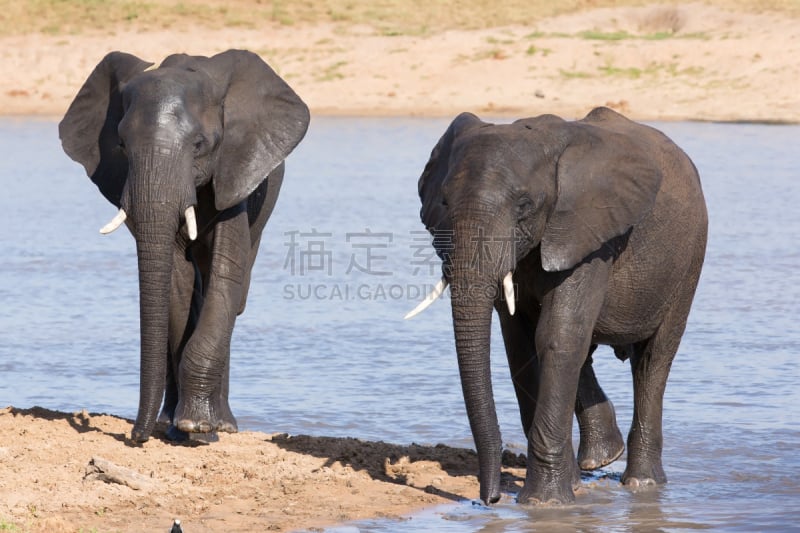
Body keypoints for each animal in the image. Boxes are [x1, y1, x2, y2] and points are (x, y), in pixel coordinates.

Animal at [58, 48, 310, 440]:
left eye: (199, 145)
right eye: (121, 145)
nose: (136, 436)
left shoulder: (234, 171)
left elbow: (227, 275)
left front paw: (201, 425)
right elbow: (176, 278)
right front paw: (186, 428)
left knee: (231, 296)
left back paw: (220, 425)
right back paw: (171, 424)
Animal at [406, 107, 708, 502]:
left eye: (524, 206)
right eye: (443, 203)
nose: (490, 499)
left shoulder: (590, 233)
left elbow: (557, 338)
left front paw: (543, 502)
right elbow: (522, 346)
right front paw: (566, 490)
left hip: (688, 260)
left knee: (653, 360)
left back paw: (642, 483)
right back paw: (599, 461)